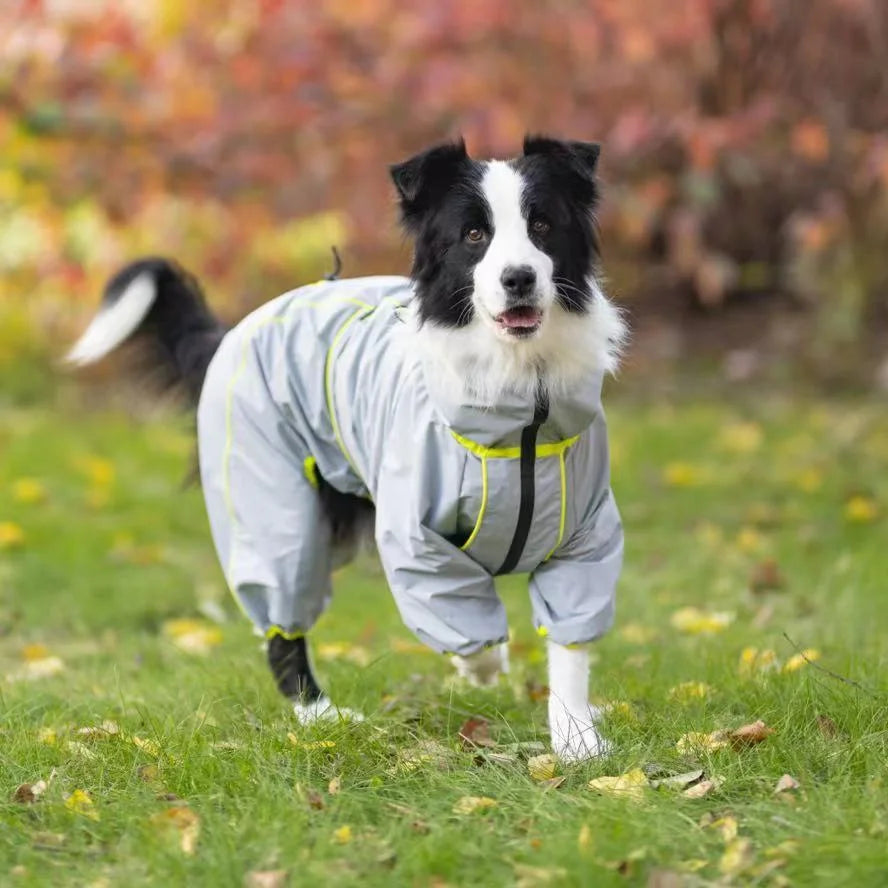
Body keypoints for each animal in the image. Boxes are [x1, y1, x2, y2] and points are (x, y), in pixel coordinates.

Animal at [67, 135, 624, 760]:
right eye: (474, 234)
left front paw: (576, 739)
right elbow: (467, 618)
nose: (519, 278)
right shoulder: (414, 537)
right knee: (282, 623)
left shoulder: (582, 538)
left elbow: (570, 643)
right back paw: (321, 716)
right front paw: (482, 667)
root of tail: (236, 330)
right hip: (275, 509)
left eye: (543, 225)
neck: (523, 403)